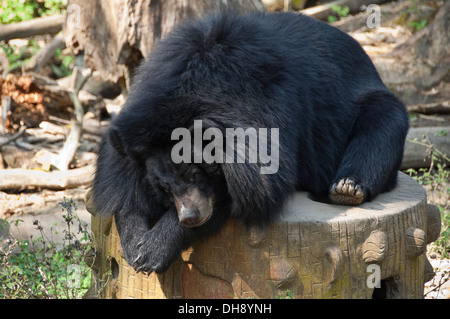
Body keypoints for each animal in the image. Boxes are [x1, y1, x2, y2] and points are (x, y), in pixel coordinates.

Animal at [91, 11, 408, 274]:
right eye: (164, 187)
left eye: (196, 173)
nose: (190, 217)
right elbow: (120, 189)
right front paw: (135, 242)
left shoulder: (268, 113)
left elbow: (252, 190)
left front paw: (154, 249)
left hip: (369, 104)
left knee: (380, 127)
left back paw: (347, 188)